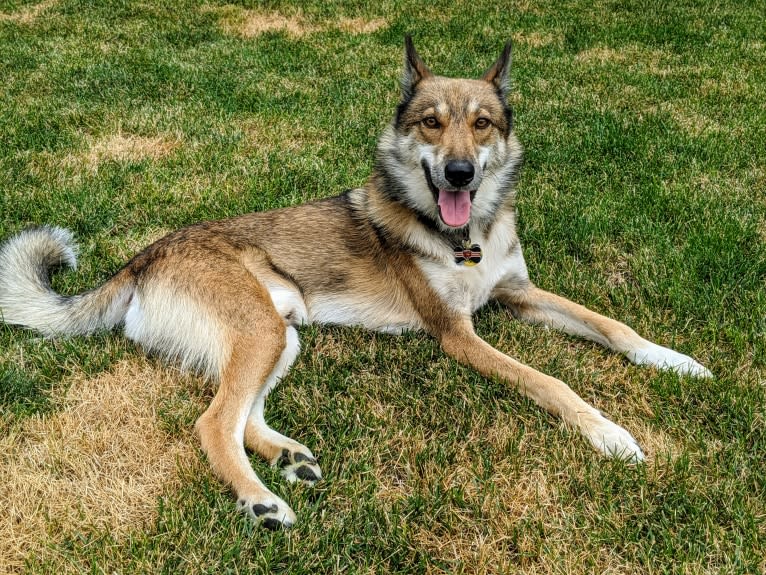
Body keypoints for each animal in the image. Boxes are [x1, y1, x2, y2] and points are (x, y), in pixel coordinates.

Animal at [0, 37, 712, 532]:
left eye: (482, 123)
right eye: (430, 122)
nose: (458, 173)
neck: (466, 238)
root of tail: (146, 255)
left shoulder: (518, 293)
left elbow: (611, 325)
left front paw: (674, 361)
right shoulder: (458, 335)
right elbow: (553, 382)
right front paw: (610, 434)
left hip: (281, 334)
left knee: (243, 414)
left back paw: (288, 456)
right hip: (261, 331)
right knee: (212, 423)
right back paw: (261, 499)